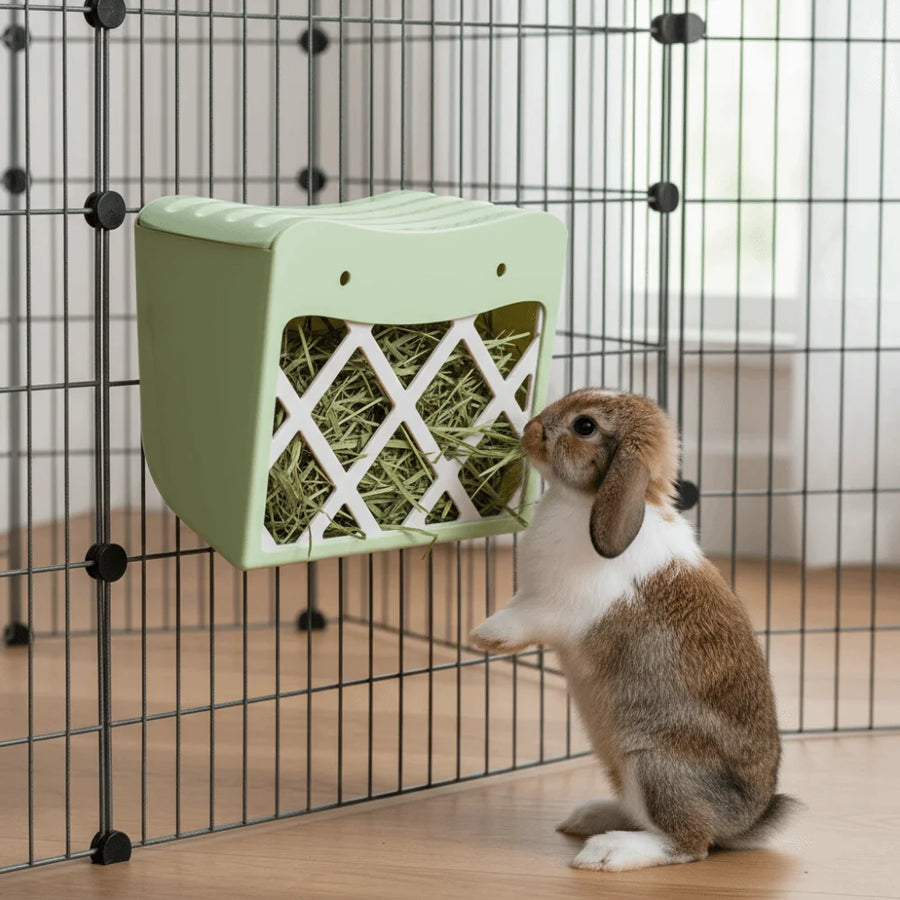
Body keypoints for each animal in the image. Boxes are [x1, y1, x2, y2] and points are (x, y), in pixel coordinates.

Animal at [470, 387, 798, 872]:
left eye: (585, 426)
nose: (529, 429)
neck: (587, 502)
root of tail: (743, 821)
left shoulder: (560, 608)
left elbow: (526, 618)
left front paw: (484, 635)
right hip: (623, 768)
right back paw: (588, 818)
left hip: (653, 765)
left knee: (689, 844)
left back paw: (607, 852)